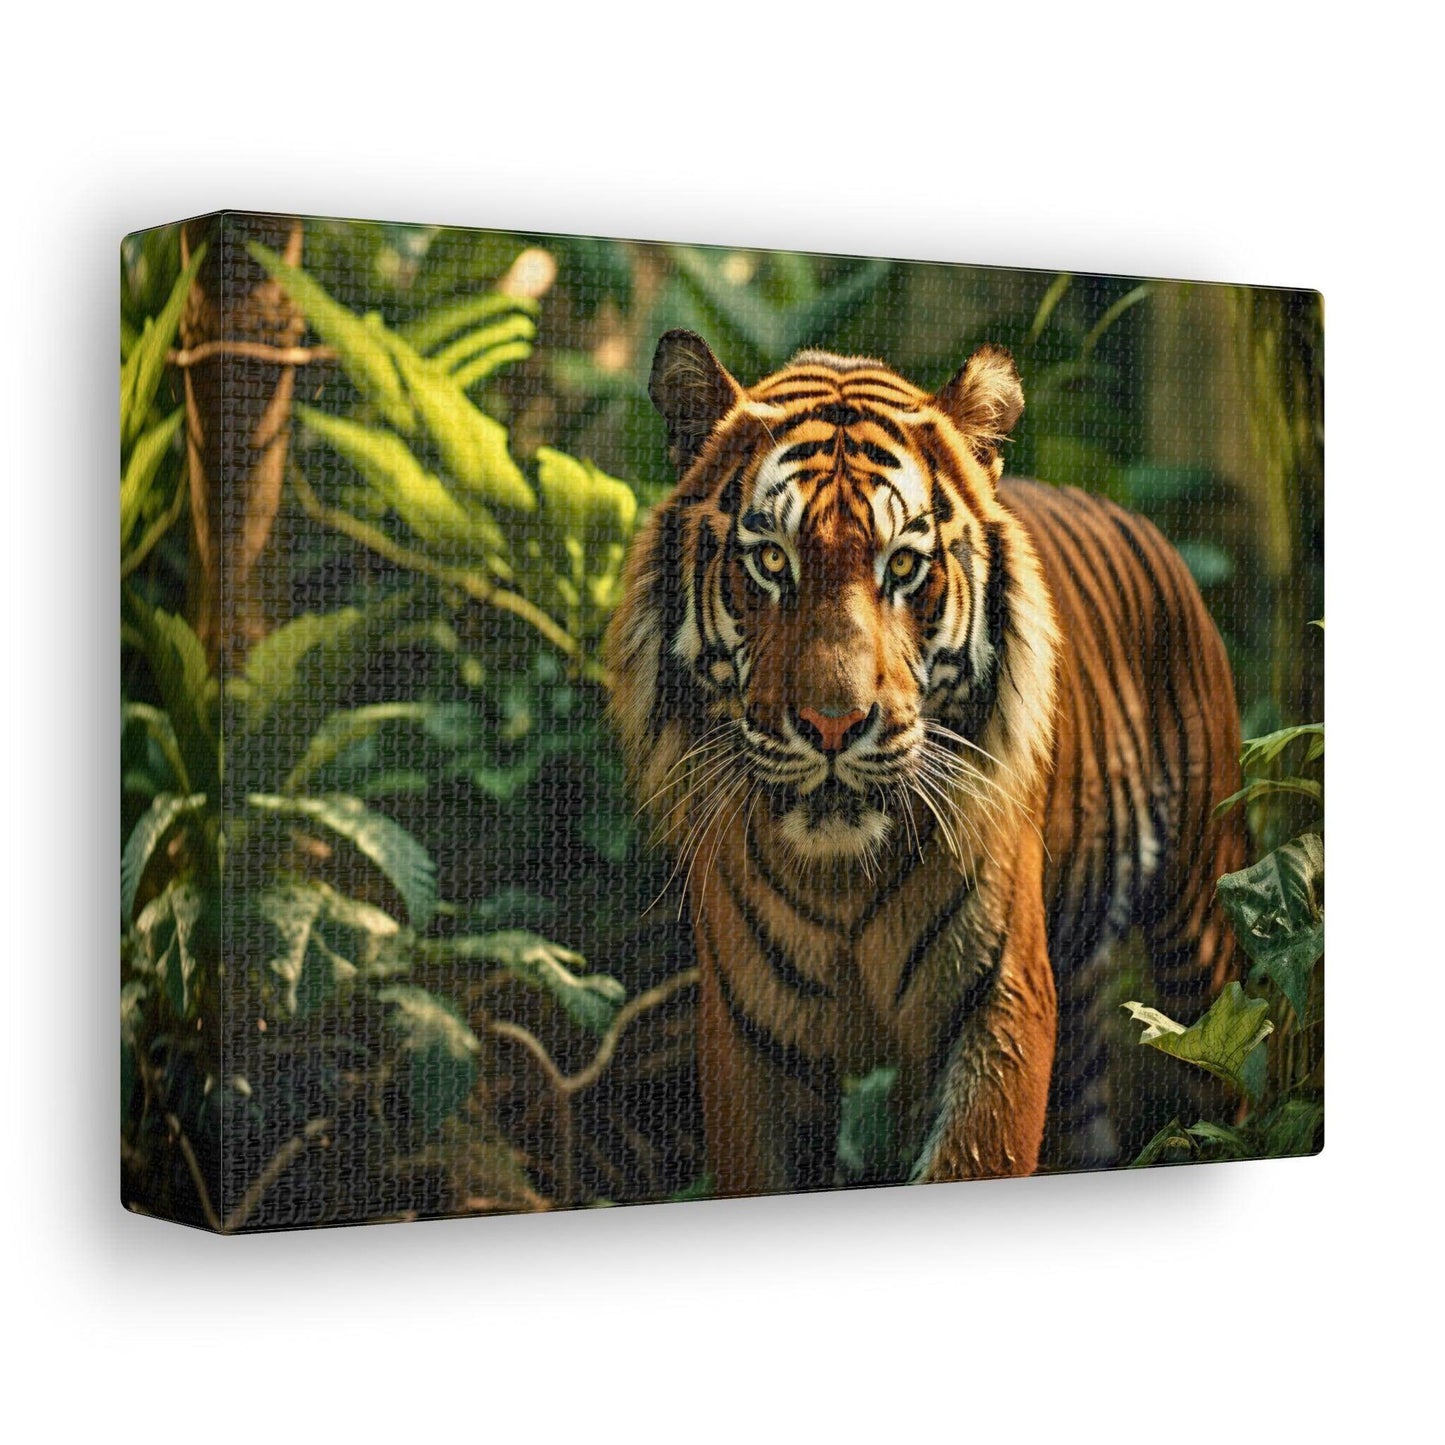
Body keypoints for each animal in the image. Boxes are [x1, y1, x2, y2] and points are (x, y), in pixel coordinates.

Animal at [604, 328, 1247, 1194]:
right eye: (770, 561)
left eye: (902, 566)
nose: (833, 723)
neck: (841, 881)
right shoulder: (748, 1034)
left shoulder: (1000, 1001)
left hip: (1201, 920)